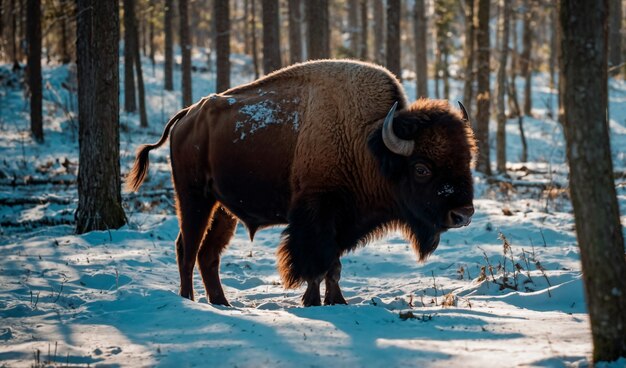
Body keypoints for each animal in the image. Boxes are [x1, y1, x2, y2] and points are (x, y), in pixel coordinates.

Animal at [128, 60, 478, 306]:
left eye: (467, 159)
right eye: (421, 169)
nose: (463, 214)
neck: (368, 143)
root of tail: (187, 114)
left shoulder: (341, 222)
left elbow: (333, 266)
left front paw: (337, 301)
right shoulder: (317, 215)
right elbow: (317, 264)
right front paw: (314, 302)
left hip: (223, 208)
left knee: (208, 254)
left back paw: (223, 303)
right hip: (193, 197)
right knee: (186, 248)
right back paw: (189, 301)